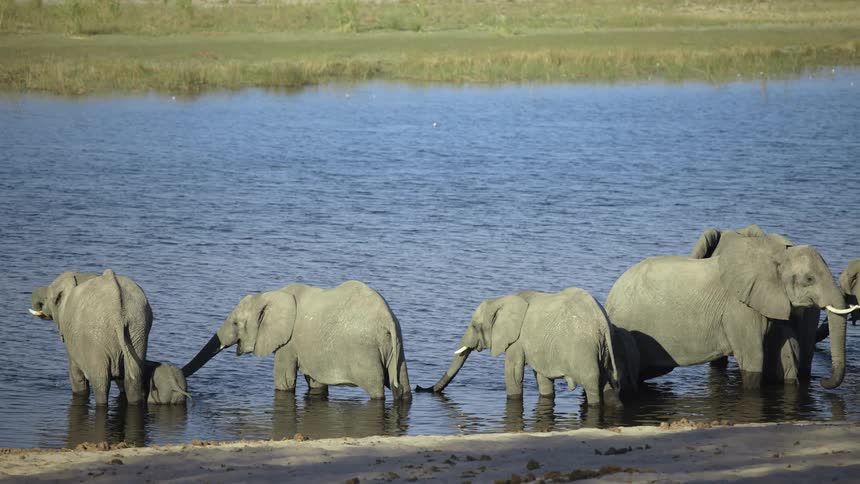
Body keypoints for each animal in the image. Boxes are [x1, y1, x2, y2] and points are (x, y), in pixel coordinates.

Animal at [29, 270, 152, 405]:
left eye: (48, 299)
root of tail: (117, 312)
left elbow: (76, 376)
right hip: (137, 327)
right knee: (134, 379)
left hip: (96, 339)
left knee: (101, 383)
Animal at [182, 280, 411, 400]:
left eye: (236, 324)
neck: (270, 295)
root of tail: (387, 317)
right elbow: (316, 384)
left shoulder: (289, 343)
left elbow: (284, 383)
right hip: (396, 346)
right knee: (403, 386)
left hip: (365, 352)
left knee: (376, 391)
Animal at [417, 287, 639, 406]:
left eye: (473, 325)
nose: (421, 388)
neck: (503, 299)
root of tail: (602, 322)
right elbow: (542, 378)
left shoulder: (517, 340)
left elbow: (513, 372)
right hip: (607, 349)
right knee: (609, 386)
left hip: (584, 350)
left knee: (593, 385)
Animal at [606, 235, 850, 389]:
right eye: (809, 279)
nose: (822, 382)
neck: (775, 255)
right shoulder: (739, 309)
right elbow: (753, 358)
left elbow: (781, 351)